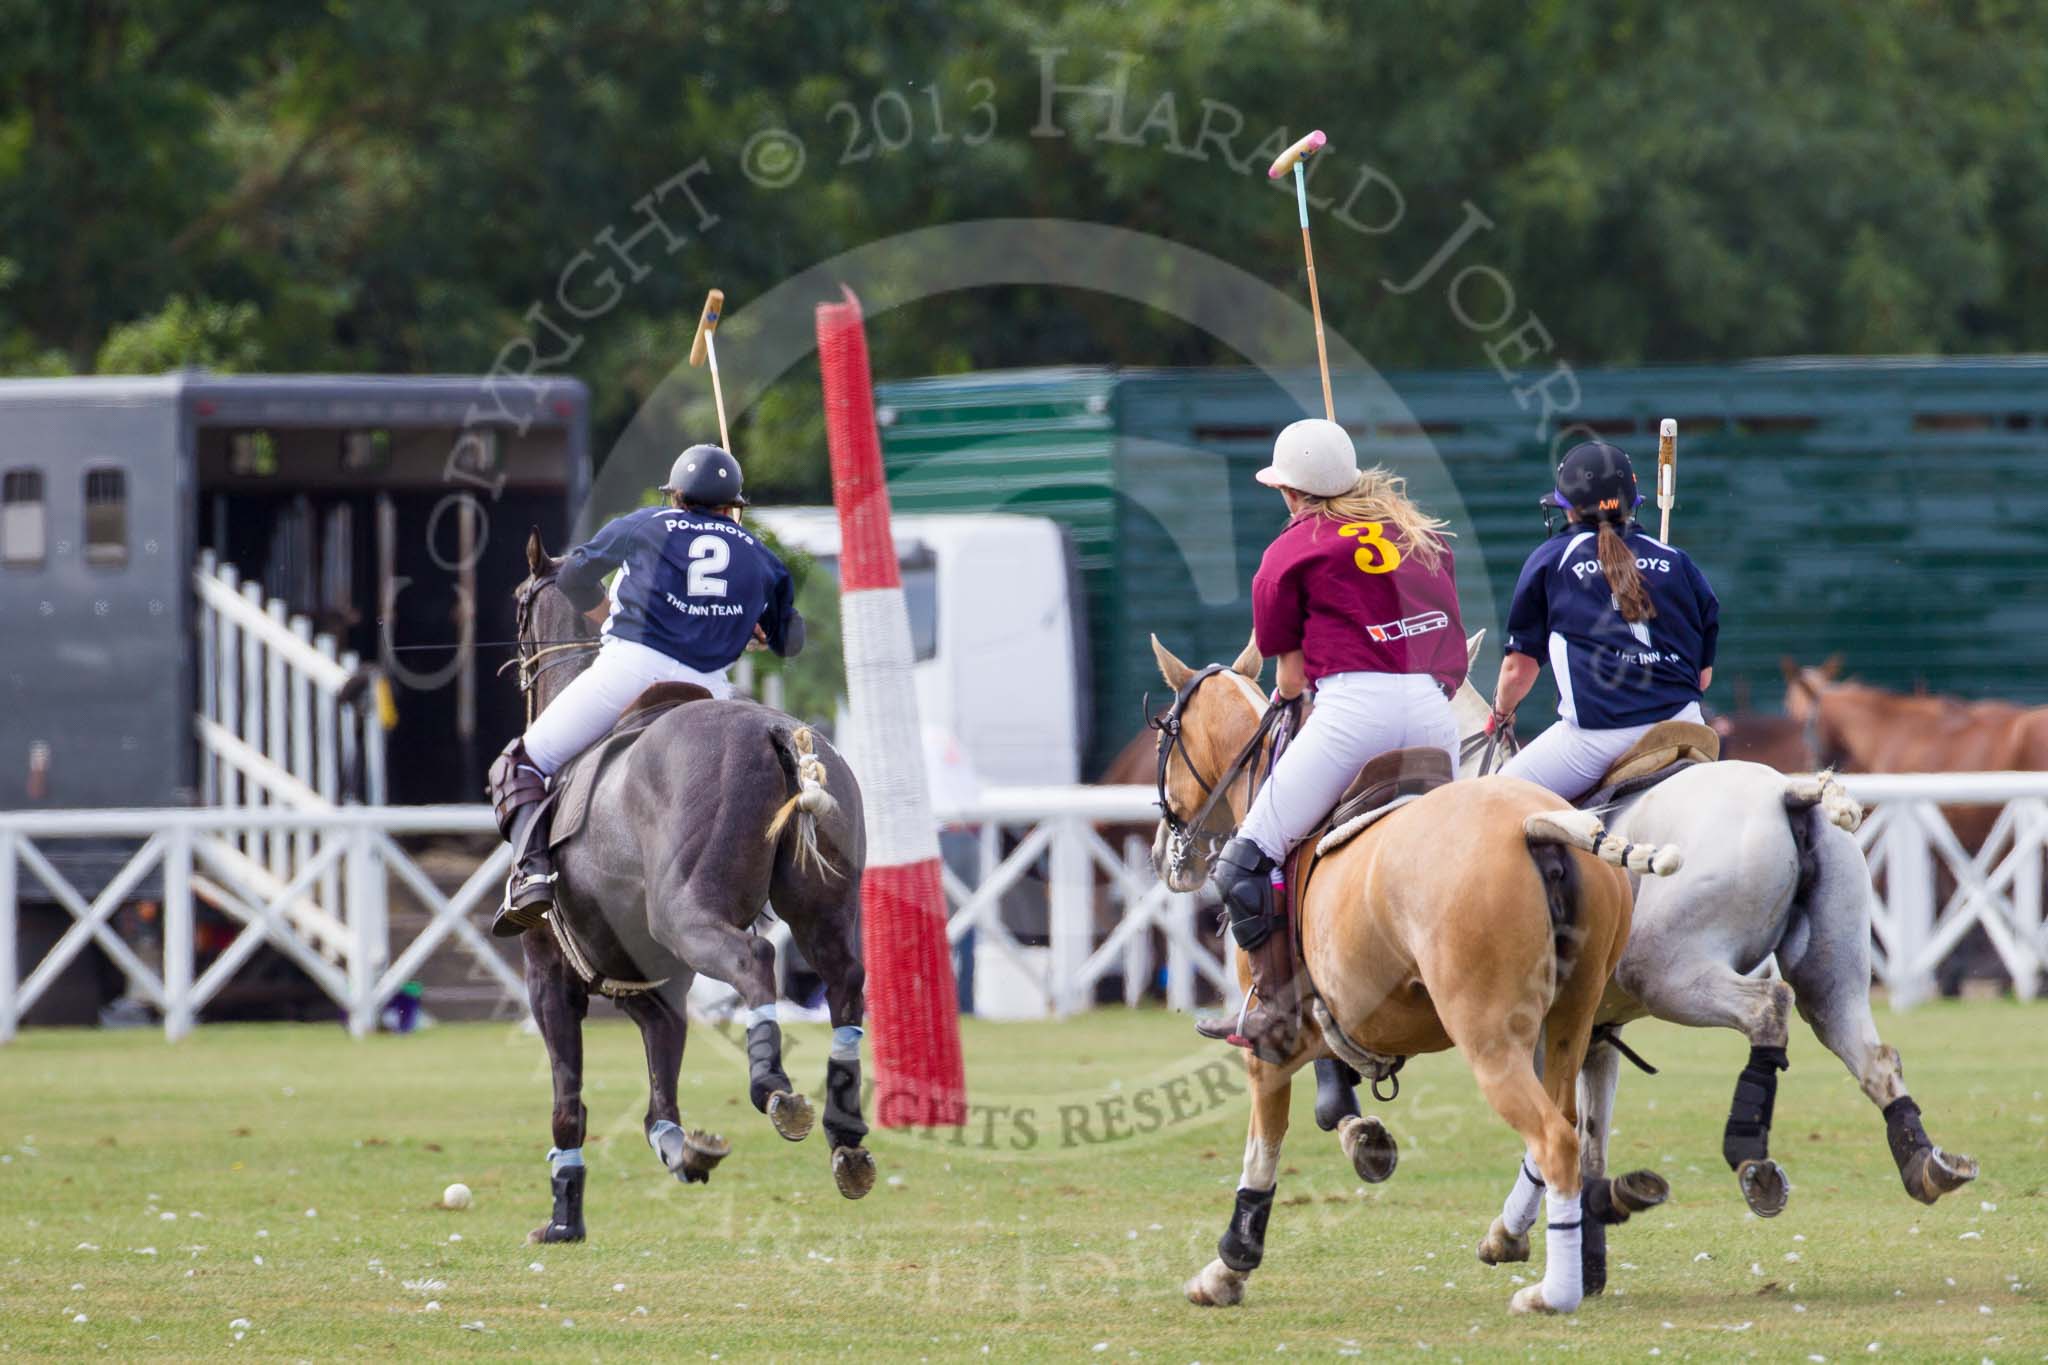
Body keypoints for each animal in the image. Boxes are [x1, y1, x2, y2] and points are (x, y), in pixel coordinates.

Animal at [509, 536, 872, 1252]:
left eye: (517, 606)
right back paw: (845, 1135)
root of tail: (777, 734)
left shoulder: (549, 975)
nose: (516, 670)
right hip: (825, 907)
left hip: (687, 914)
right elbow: (660, 1094)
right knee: (845, 980)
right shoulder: (656, 988)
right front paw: (684, 1150)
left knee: (757, 961)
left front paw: (564, 1218)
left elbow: (569, 1104)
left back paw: (775, 1088)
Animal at [1155, 634, 1679, 1317]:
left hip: (1487, 1034)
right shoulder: (1345, 1010)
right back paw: (1531, 1241)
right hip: (1572, 1019)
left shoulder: (1270, 1032)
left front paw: (1228, 1267)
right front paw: (1366, 1138)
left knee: (1554, 1139)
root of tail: (1536, 825)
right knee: (1570, 1125)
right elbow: (1337, 1088)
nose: (1167, 855)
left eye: (1163, 730)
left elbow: (1262, 1149)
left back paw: (1552, 1292)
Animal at [1449, 634, 1974, 1301]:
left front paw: (1510, 1237)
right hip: (1834, 968)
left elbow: (1553, 1130)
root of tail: (1787, 793)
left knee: (1768, 1008)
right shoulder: (1596, 1032)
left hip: (1667, 970)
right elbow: (1588, 1135)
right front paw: (1590, 1256)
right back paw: (1922, 1163)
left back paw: (1751, 1154)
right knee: (1870, 1053)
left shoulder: (1545, 1028)